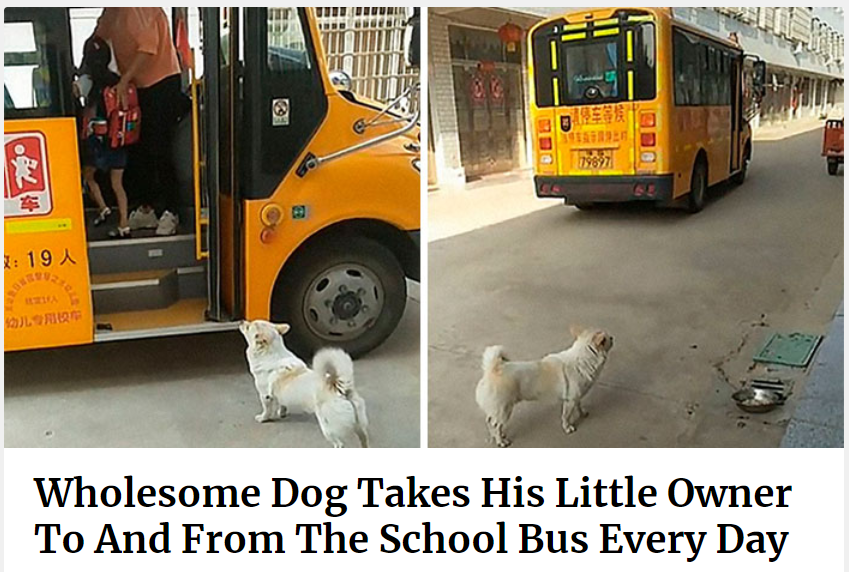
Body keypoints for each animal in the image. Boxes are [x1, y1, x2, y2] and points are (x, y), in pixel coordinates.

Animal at [470, 326, 616, 446]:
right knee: (496, 425)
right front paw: (567, 427)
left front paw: (582, 413)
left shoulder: (576, 397)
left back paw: (497, 436)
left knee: (490, 421)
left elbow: (579, 405)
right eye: (606, 339)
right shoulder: (569, 401)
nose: (612, 337)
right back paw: (501, 441)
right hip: (504, 410)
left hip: (497, 410)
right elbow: (566, 416)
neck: (583, 358)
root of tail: (492, 370)